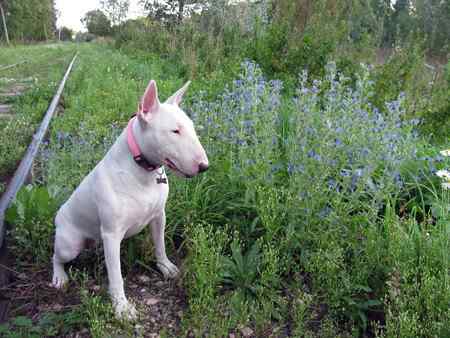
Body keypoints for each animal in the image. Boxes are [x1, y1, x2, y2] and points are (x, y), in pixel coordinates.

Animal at [51, 80, 209, 320]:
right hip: (69, 244)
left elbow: (160, 245)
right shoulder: (111, 234)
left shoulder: (159, 216)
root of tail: (59, 215)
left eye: (191, 127)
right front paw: (122, 308)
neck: (142, 170)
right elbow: (116, 276)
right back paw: (59, 277)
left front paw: (166, 267)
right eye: (175, 131)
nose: (204, 166)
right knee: (56, 256)